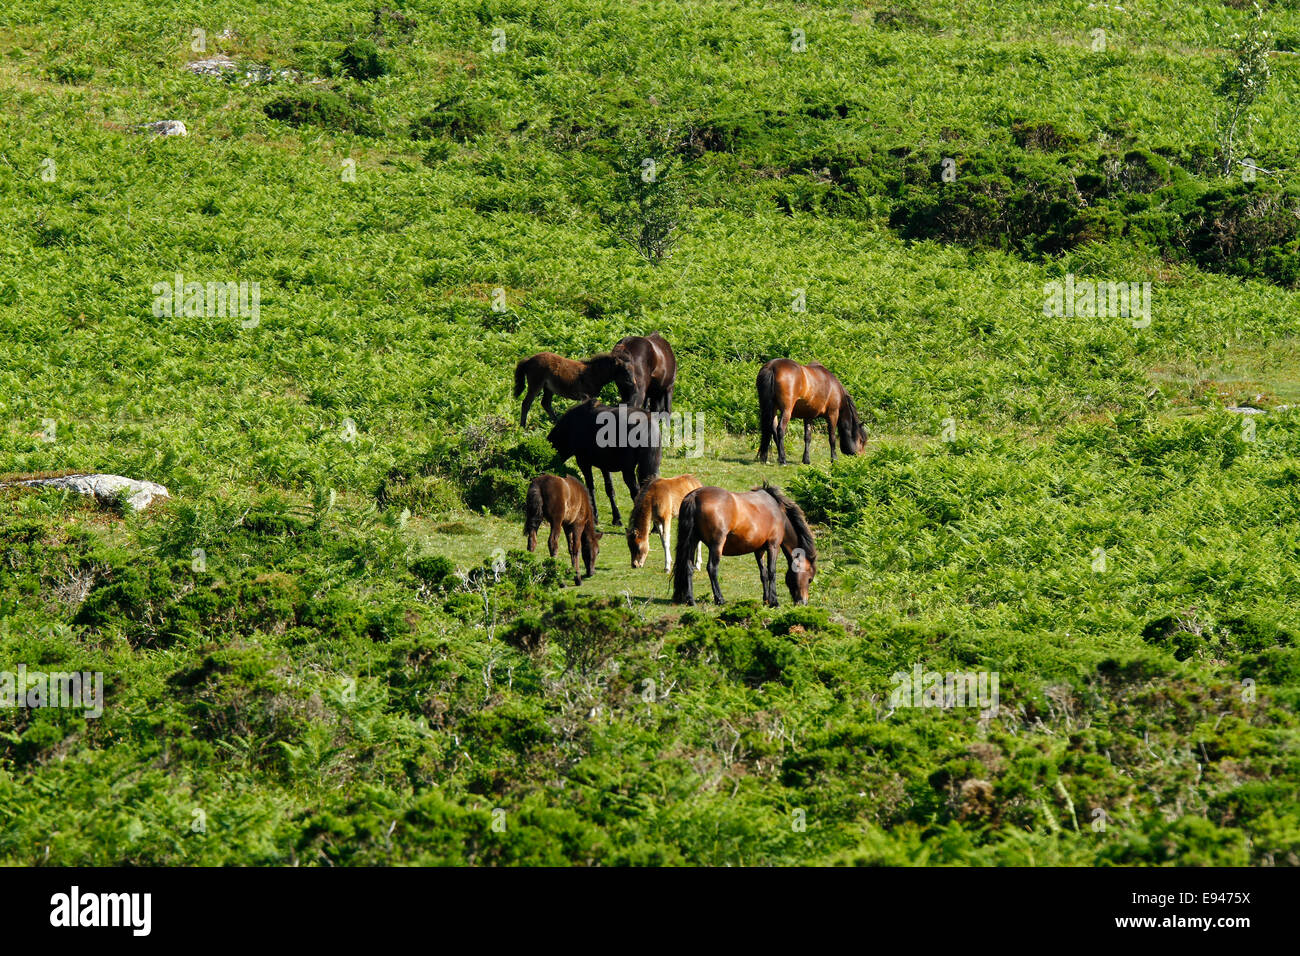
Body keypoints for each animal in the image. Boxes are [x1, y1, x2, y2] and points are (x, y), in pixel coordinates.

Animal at [543, 400, 660, 528]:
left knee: (636, 491)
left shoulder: (583, 462)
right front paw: (616, 518)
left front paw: (595, 517)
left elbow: (590, 488)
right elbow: (609, 489)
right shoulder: (605, 466)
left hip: (627, 470)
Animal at [670, 481, 811, 608]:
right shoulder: (773, 545)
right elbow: (772, 572)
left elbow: (764, 574)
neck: (777, 512)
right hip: (716, 545)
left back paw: (691, 600)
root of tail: (694, 496)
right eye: (809, 578)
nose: (803, 602)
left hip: (692, 541)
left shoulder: (759, 550)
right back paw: (720, 599)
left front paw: (766, 600)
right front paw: (774, 602)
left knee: (688, 567)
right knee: (712, 568)